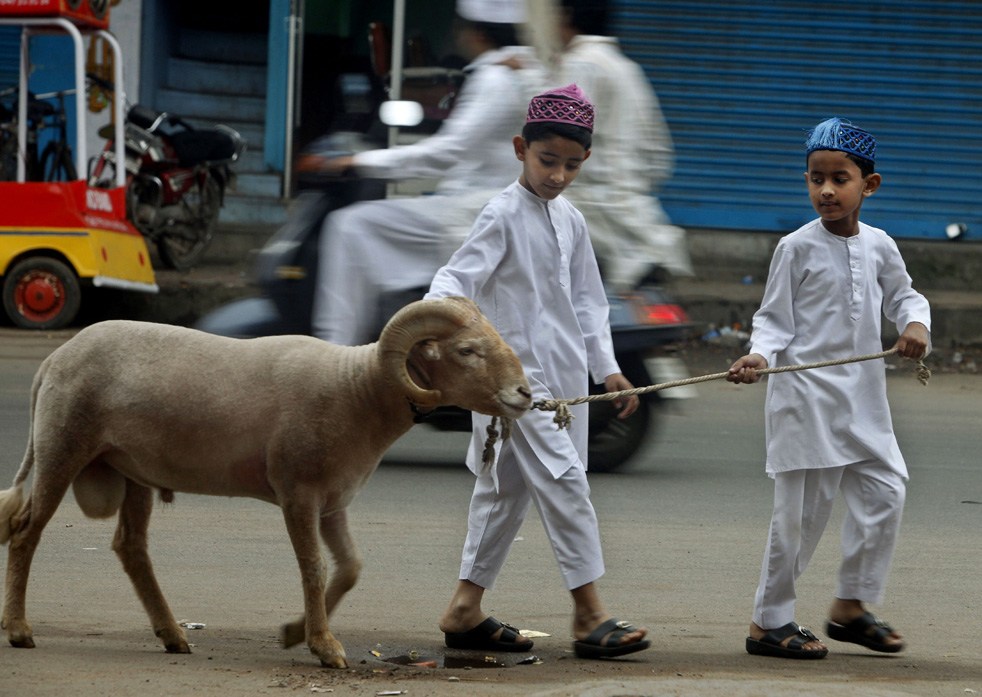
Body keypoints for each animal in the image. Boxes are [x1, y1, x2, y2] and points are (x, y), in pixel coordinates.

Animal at [0, 296, 532, 668]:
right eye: (467, 350)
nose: (525, 394)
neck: (357, 389)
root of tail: (52, 361)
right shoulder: (298, 491)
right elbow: (314, 568)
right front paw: (324, 647)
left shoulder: (334, 500)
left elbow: (350, 568)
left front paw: (295, 632)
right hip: (62, 446)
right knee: (27, 532)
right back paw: (20, 629)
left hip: (133, 472)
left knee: (131, 548)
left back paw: (173, 635)